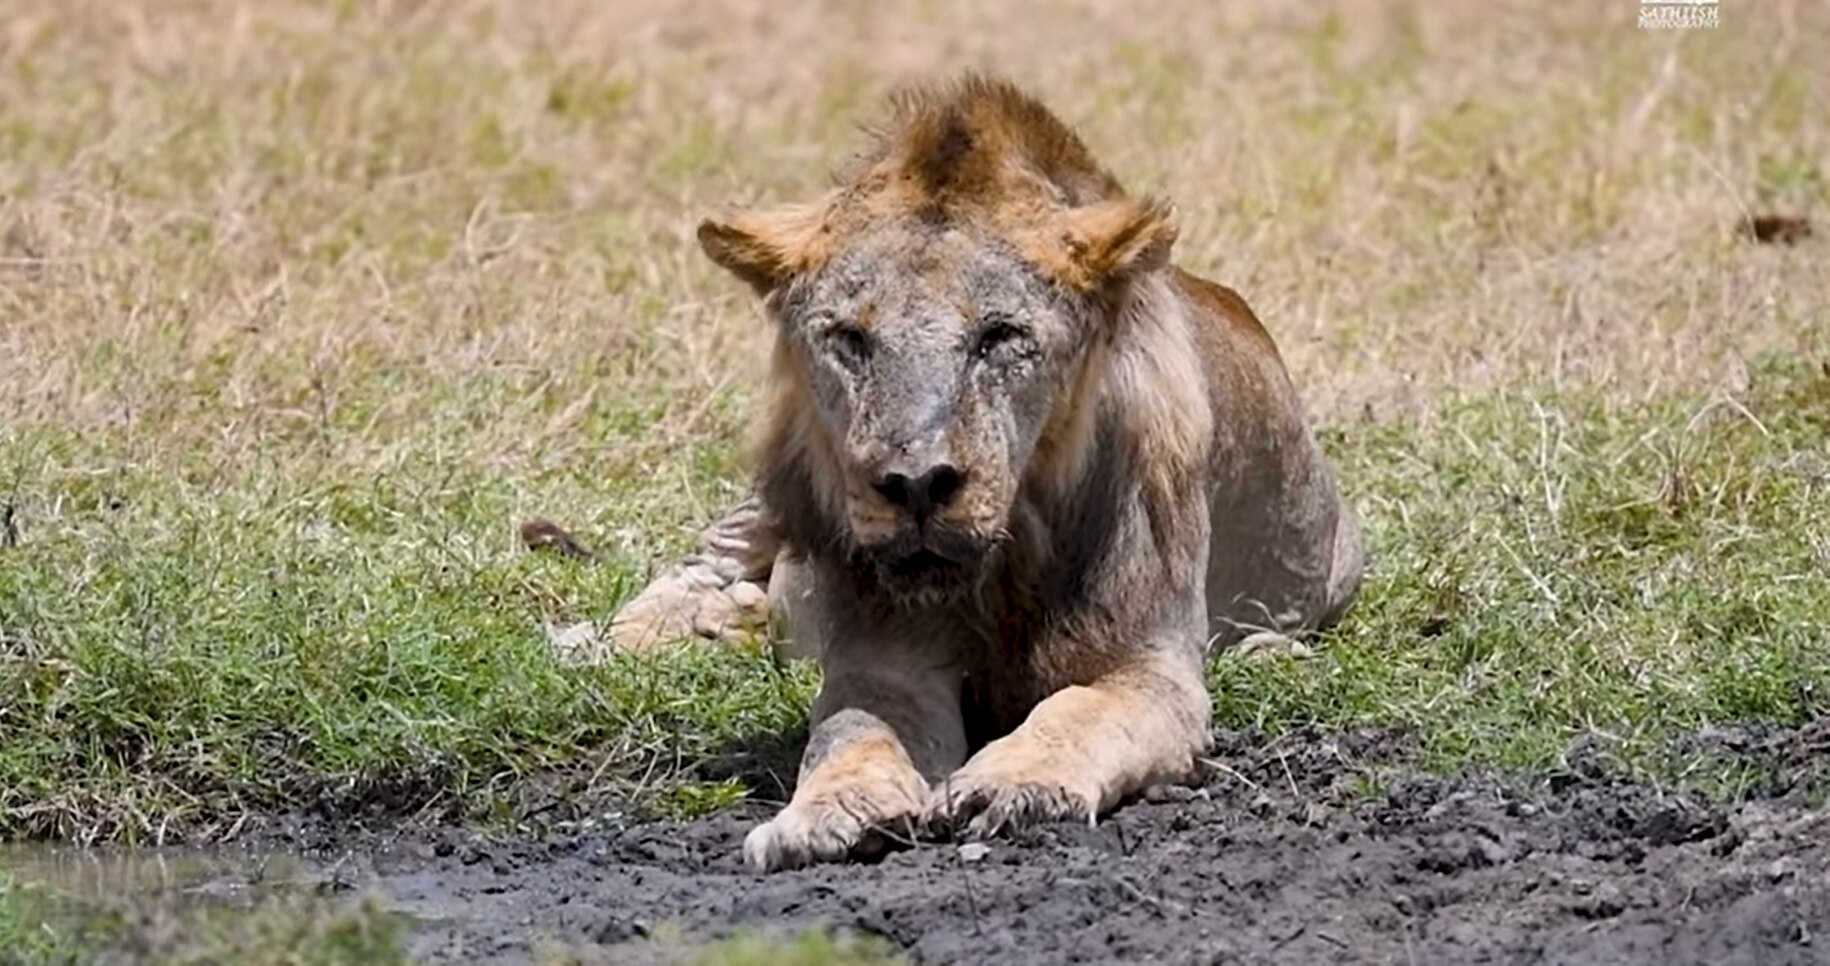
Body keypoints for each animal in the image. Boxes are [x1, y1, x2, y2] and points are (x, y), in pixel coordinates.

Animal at [609, 75, 1364, 871]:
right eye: (849, 337)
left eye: (998, 336)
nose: (914, 484)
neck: (1005, 561)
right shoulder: (883, 664)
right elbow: (850, 731)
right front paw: (827, 813)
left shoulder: (1151, 665)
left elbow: (1077, 712)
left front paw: (1013, 785)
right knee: (700, 568)